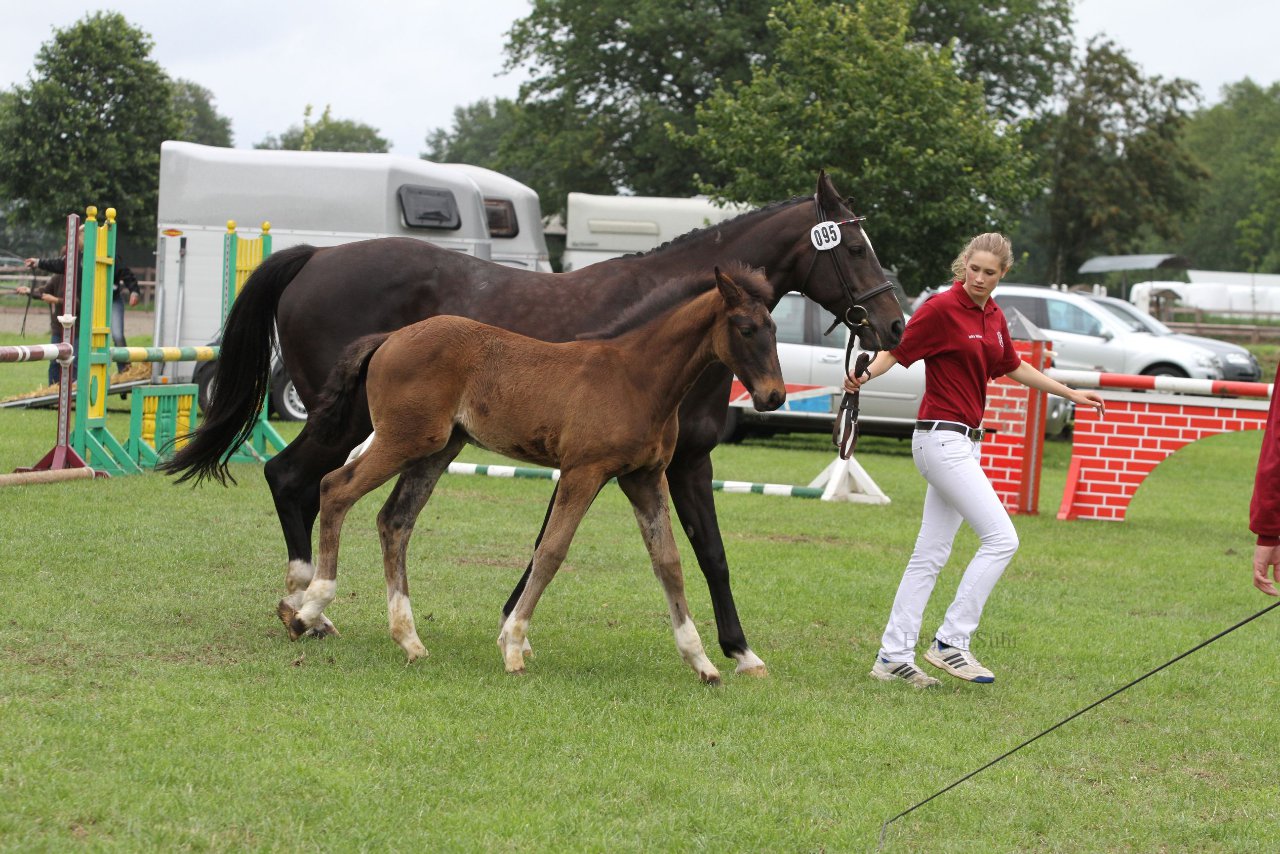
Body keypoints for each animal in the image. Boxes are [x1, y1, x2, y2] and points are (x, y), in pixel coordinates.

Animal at [288, 263, 788, 686]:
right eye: (746, 329)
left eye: (775, 328)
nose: (775, 396)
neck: (637, 378)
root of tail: (391, 337)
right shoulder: (584, 471)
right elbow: (551, 552)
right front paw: (512, 645)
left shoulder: (645, 477)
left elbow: (668, 561)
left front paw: (701, 660)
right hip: (404, 440)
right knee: (335, 488)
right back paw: (310, 608)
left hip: (437, 449)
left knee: (394, 520)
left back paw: (408, 639)